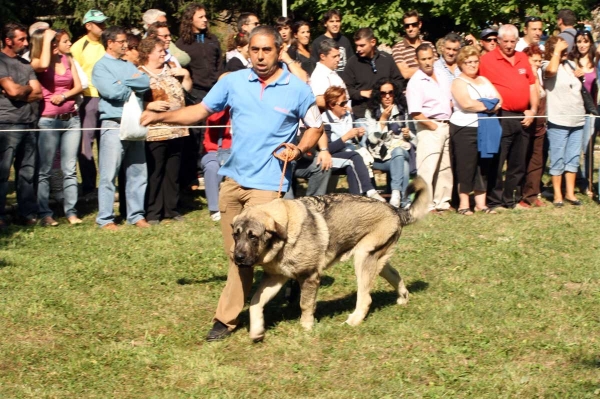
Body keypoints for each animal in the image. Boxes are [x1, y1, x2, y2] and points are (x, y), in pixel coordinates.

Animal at [232, 176, 428, 340]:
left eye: (253, 236)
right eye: (236, 234)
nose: (237, 257)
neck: (286, 230)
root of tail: (396, 210)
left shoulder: (309, 276)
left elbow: (305, 304)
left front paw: (306, 328)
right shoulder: (275, 278)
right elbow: (255, 303)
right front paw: (257, 331)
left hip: (363, 257)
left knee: (366, 298)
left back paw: (353, 321)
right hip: (376, 260)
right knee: (395, 276)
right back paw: (403, 298)